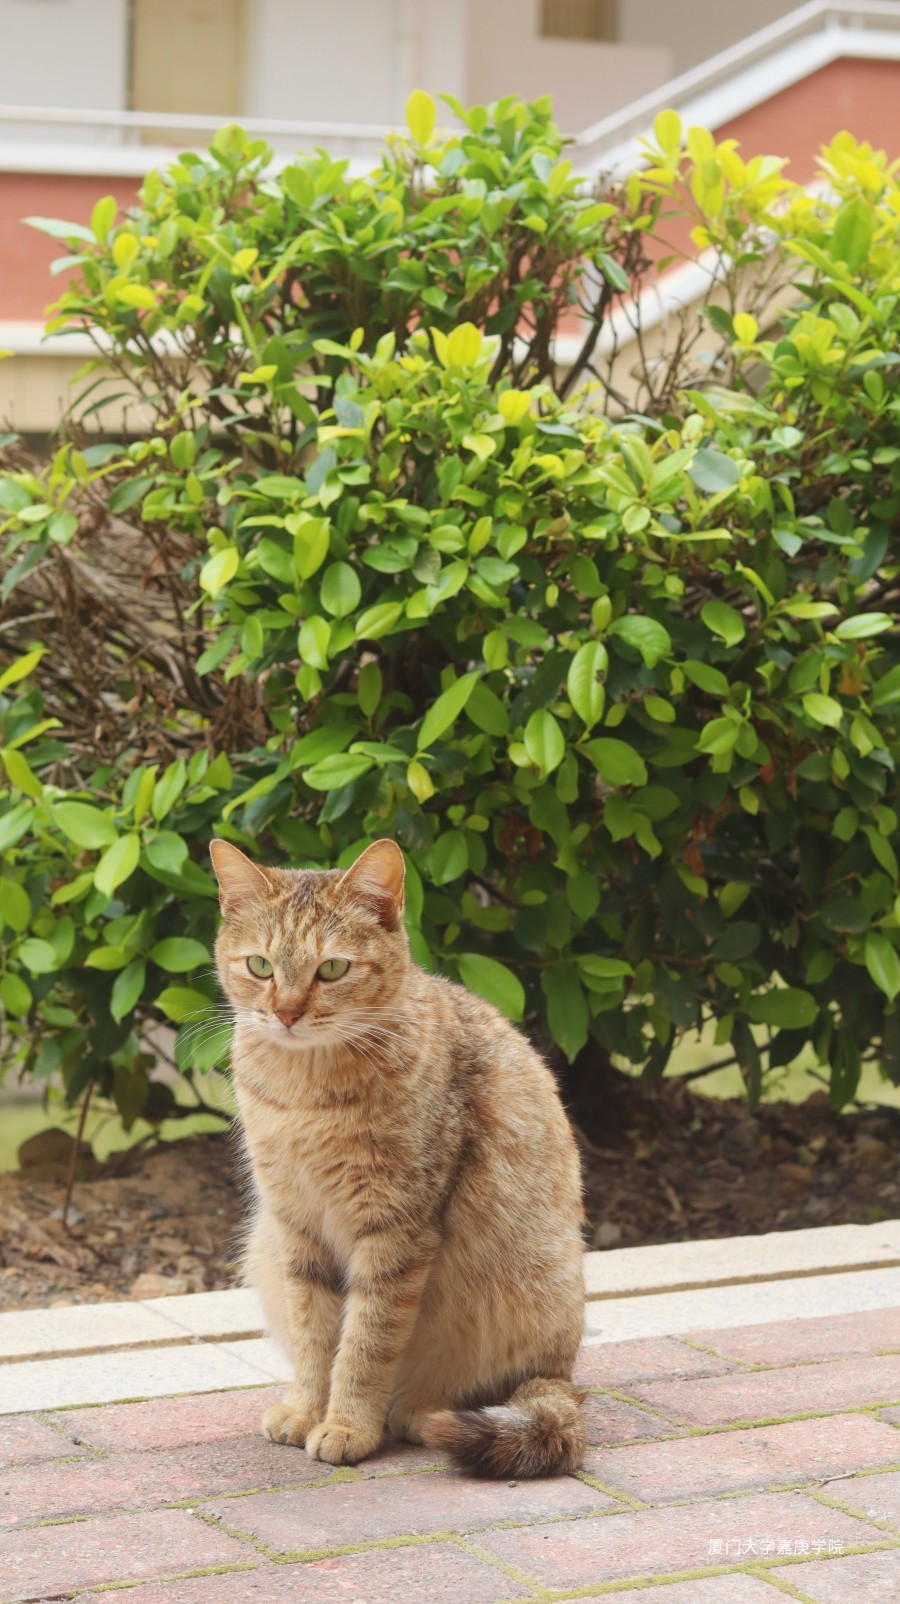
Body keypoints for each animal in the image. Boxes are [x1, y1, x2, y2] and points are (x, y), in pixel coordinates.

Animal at [210, 835, 586, 1477]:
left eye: (332, 968)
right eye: (260, 966)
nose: (286, 1013)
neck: (306, 1089)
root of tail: (563, 1372)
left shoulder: (396, 1228)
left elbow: (365, 1342)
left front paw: (346, 1425)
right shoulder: (294, 1223)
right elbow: (314, 1334)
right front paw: (308, 1408)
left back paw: (415, 1408)